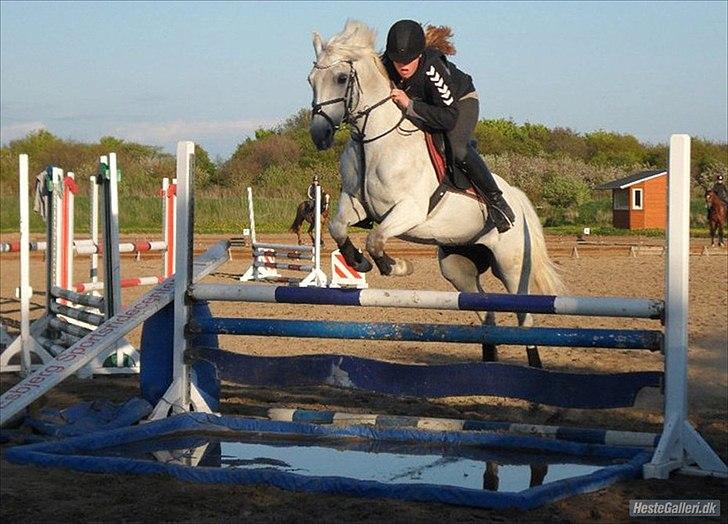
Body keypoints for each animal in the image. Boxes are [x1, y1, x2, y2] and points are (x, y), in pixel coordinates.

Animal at [308, 21, 564, 367]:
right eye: (311, 80)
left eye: (341, 78)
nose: (319, 135)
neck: (373, 140)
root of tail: (518, 199)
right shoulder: (355, 203)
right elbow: (337, 227)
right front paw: (358, 262)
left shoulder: (409, 210)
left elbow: (377, 239)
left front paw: (397, 267)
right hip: (458, 266)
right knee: (485, 311)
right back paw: (488, 361)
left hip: (511, 265)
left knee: (524, 317)